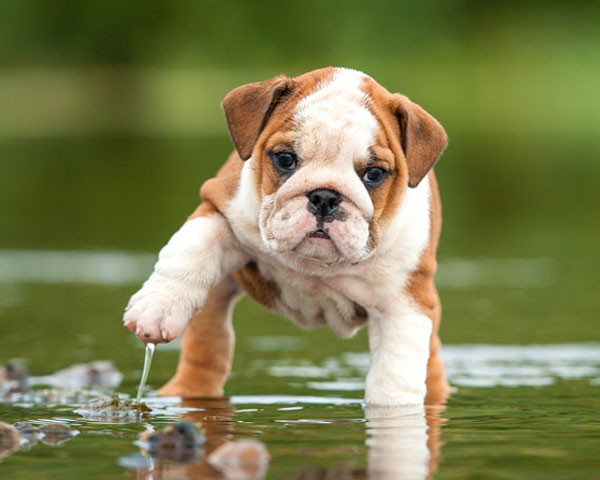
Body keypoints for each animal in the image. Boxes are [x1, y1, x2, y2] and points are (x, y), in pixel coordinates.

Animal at [123, 67, 450, 404]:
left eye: (374, 174)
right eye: (285, 158)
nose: (324, 197)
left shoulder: (404, 304)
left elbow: (394, 375)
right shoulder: (220, 205)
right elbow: (190, 249)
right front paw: (159, 306)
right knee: (208, 344)